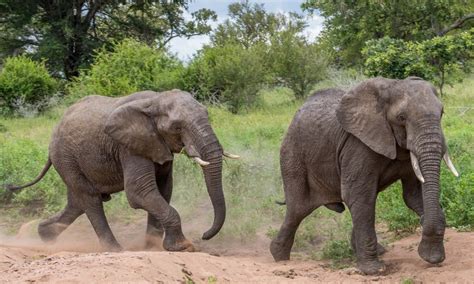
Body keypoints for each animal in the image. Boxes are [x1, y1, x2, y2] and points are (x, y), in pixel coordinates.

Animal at [7, 90, 237, 252]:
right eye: (177, 127)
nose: (205, 234)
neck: (155, 100)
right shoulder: (128, 147)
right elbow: (139, 192)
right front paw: (183, 247)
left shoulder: (157, 144)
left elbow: (164, 189)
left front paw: (152, 247)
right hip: (65, 157)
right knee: (90, 200)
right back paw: (115, 250)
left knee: (77, 202)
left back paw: (46, 237)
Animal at [270, 77, 460, 276]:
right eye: (401, 118)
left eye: (442, 113)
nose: (422, 221)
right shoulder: (357, 146)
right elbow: (358, 196)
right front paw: (374, 270)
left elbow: (413, 195)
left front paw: (432, 257)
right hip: (292, 155)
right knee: (297, 209)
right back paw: (280, 257)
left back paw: (378, 250)